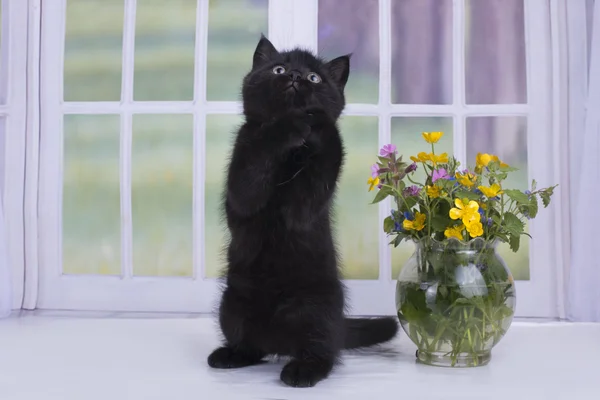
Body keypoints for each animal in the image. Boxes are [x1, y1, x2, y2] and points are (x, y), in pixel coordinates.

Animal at [206, 36, 398, 388]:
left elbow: (317, 169)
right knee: (252, 345)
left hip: (317, 308)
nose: (295, 76)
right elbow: (258, 158)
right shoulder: (243, 171)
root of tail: (280, 342)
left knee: (323, 349)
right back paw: (230, 355)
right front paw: (291, 123)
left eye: (314, 77)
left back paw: (302, 371)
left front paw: (315, 124)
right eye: (279, 69)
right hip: (231, 305)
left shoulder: (307, 203)